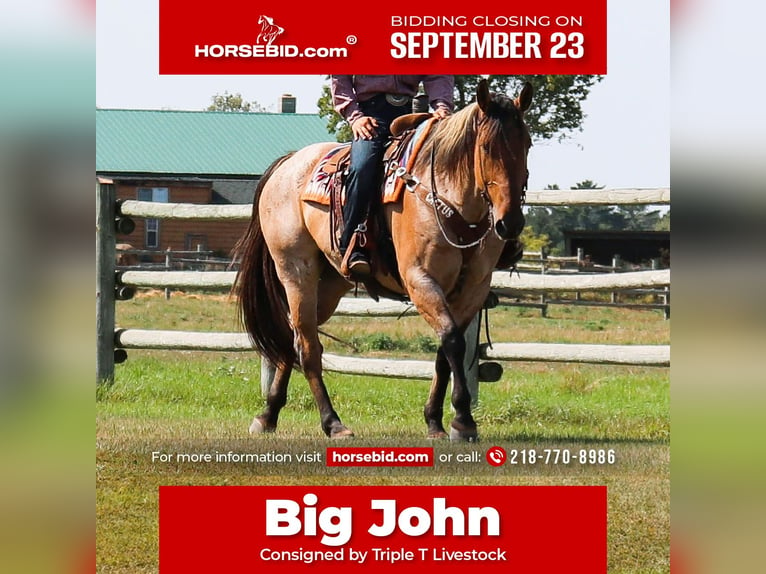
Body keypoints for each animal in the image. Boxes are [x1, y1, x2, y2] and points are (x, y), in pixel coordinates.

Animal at [234, 80, 536, 440]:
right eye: (488, 147)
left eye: (528, 143)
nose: (510, 223)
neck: (450, 200)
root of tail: (288, 162)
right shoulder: (420, 280)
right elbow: (452, 341)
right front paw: (463, 420)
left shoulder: (472, 289)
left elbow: (445, 350)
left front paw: (435, 420)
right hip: (295, 272)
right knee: (307, 347)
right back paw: (333, 423)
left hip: (330, 284)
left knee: (293, 337)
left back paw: (268, 414)